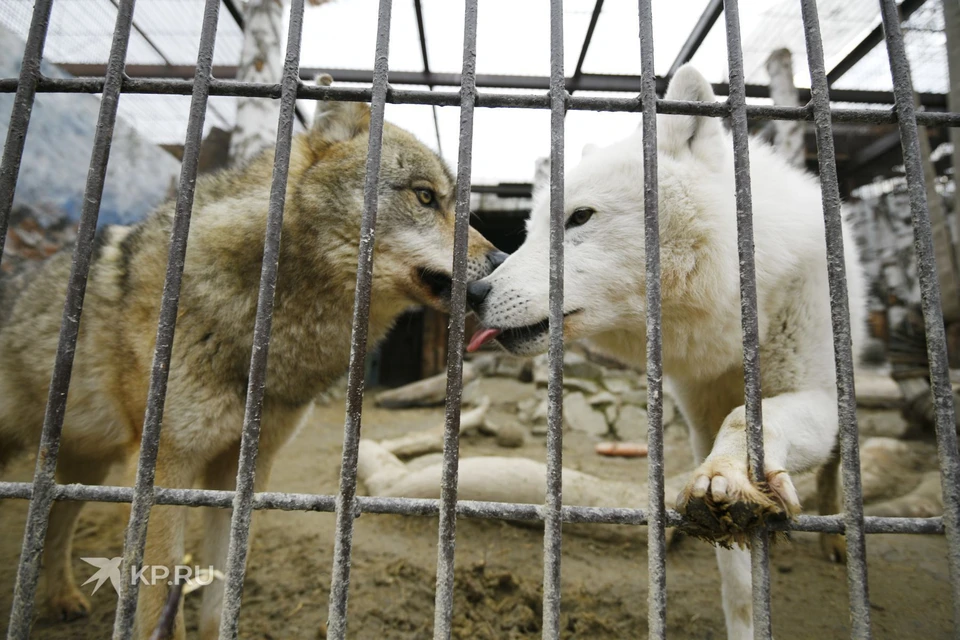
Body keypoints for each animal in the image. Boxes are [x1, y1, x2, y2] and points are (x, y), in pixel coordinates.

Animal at [0, 91, 506, 640]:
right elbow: (161, 608)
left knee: (53, 525)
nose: (502, 260)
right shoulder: (165, 468)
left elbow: (221, 601)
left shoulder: (243, 472)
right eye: (425, 197)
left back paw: (62, 599)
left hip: (82, 467)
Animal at [466, 66, 872, 640]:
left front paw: (730, 474)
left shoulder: (811, 392)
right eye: (528, 231)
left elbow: (749, 418)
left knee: (838, 467)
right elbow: (739, 584)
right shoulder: (698, 417)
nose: (474, 294)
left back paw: (836, 538)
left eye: (580, 217)